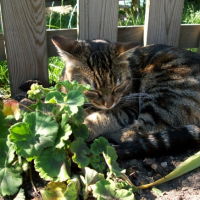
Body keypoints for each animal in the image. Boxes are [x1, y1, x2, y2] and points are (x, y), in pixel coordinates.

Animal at [52, 35, 200, 159]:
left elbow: (107, 117)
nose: (108, 104)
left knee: (137, 133)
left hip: (160, 92)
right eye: (93, 90)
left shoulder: (131, 106)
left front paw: (85, 128)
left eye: (118, 87)